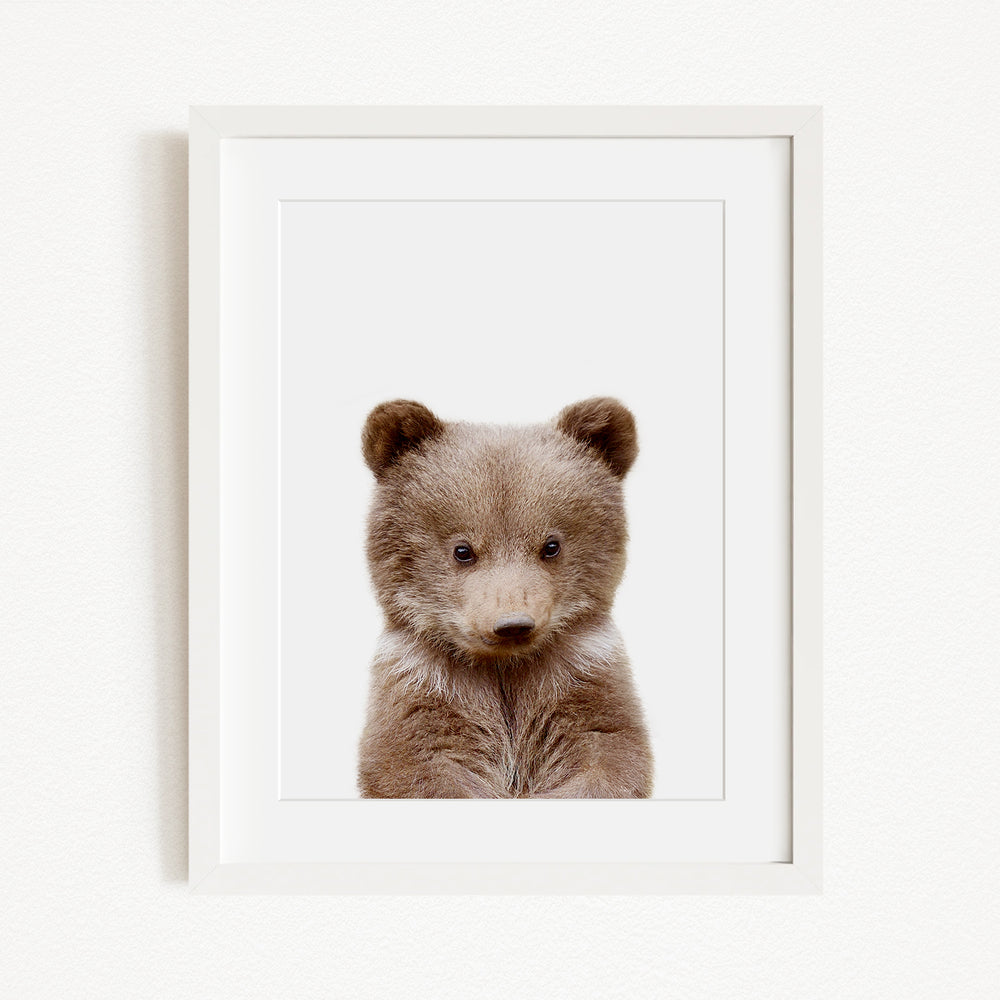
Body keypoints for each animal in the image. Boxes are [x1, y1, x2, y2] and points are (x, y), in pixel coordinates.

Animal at [356, 397, 653, 798]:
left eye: (551, 545)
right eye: (462, 550)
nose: (513, 624)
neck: (503, 666)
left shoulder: (582, 678)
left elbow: (608, 751)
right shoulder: (423, 686)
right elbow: (416, 764)